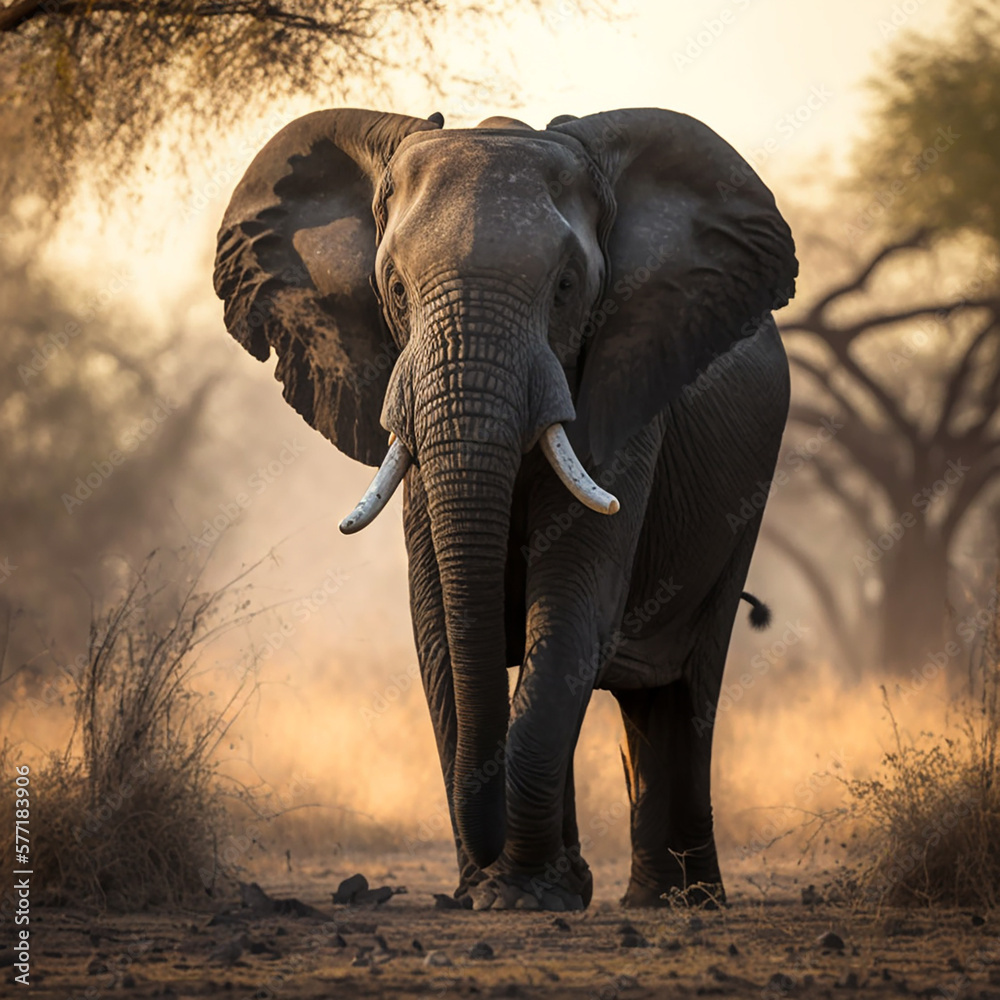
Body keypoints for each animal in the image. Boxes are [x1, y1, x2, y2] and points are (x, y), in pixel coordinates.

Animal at [214, 106, 797, 910]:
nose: (475, 866)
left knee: (684, 686)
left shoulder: (625, 390)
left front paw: (522, 895)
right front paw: (498, 891)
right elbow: (438, 625)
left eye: (566, 287)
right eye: (395, 288)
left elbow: (571, 607)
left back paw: (683, 902)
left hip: (747, 493)